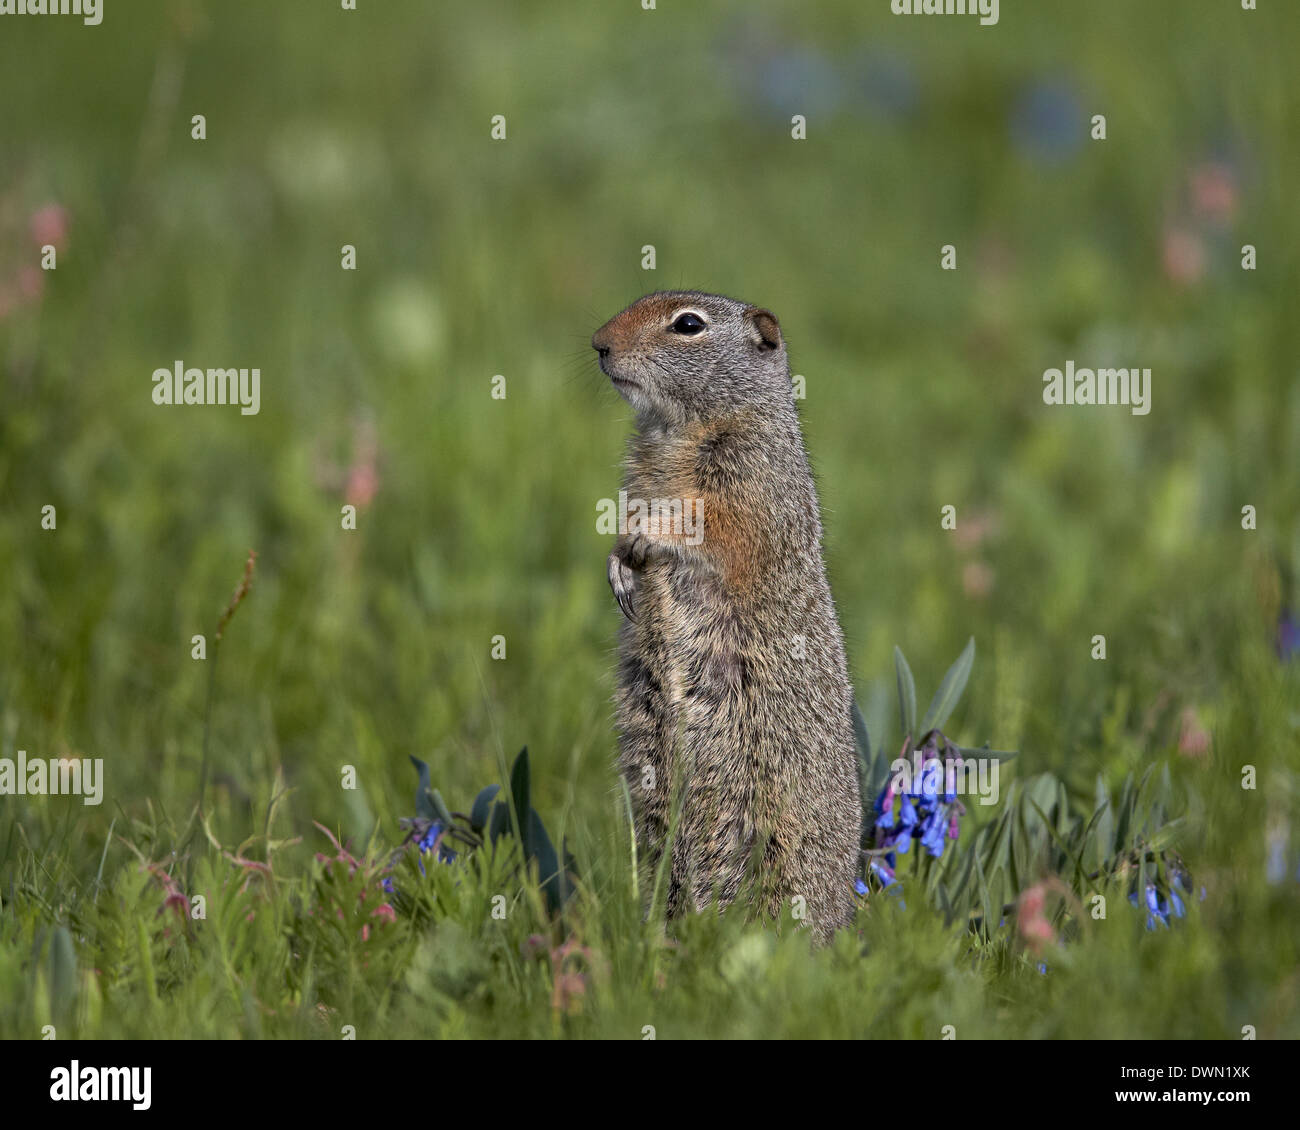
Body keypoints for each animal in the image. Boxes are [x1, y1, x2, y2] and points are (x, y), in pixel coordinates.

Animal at [592, 286, 863, 941]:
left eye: (688, 325)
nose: (598, 344)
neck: (677, 430)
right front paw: (617, 564)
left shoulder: (749, 473)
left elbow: (715, 524)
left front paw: (644, 539)